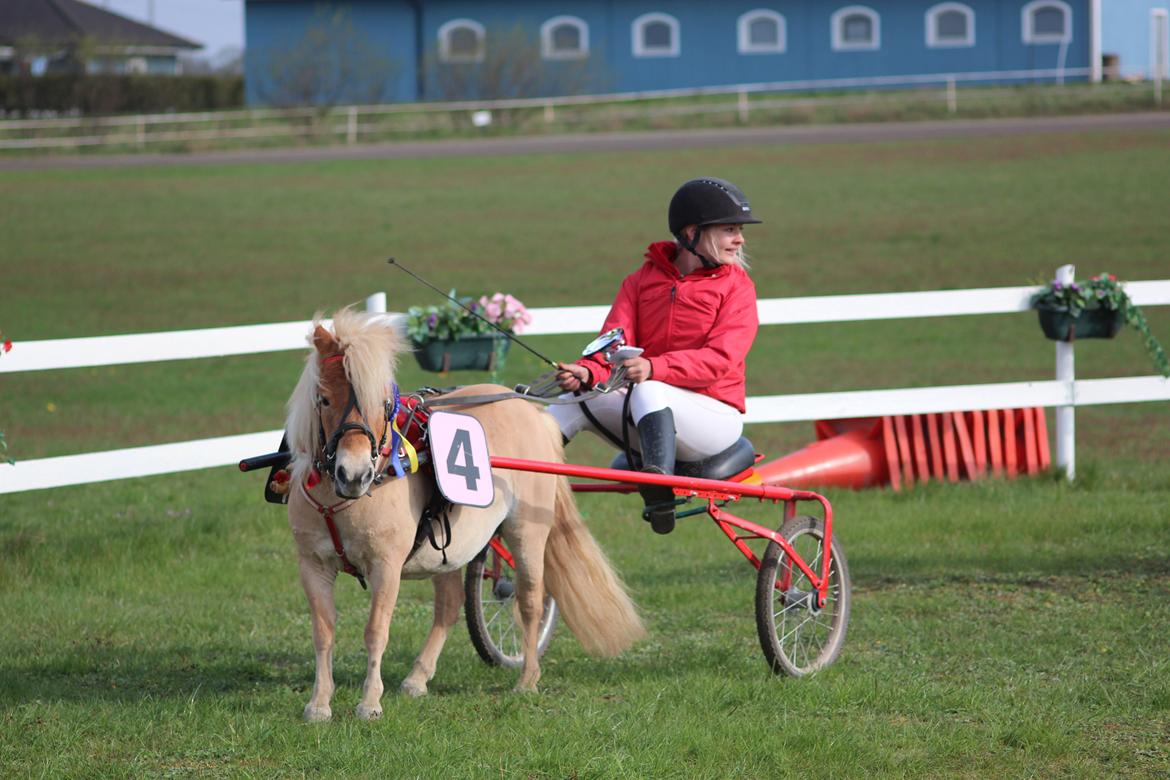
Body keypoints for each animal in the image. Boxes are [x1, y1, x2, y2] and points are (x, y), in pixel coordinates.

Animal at [285, 308, 650, 725]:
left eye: (384, 403)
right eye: (324, 399)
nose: (354, 474)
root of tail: (531, 410)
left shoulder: (386, 566)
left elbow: (376, 631)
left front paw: (369, 703)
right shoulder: (313, 565)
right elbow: (323, 631)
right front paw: (319, 704)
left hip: (526, 532)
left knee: (529, 600)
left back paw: (527, 678)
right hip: (446, 548)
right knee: (448, 607)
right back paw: (418, 678)